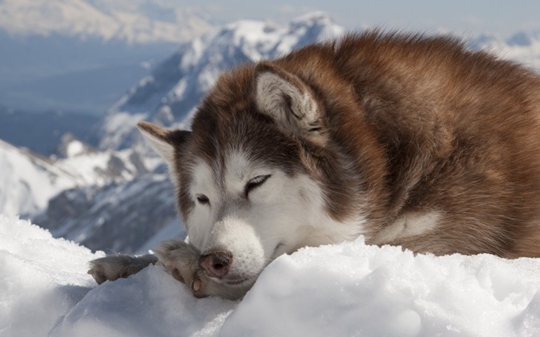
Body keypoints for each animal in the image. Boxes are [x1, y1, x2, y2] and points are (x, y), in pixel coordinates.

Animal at [88, 31, 540, 300]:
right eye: (202, 199)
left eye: (256, 182)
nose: (214, 260)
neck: (385, 154)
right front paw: (125, 262)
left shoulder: (441, 246)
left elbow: (266, 274)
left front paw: (185, 264)